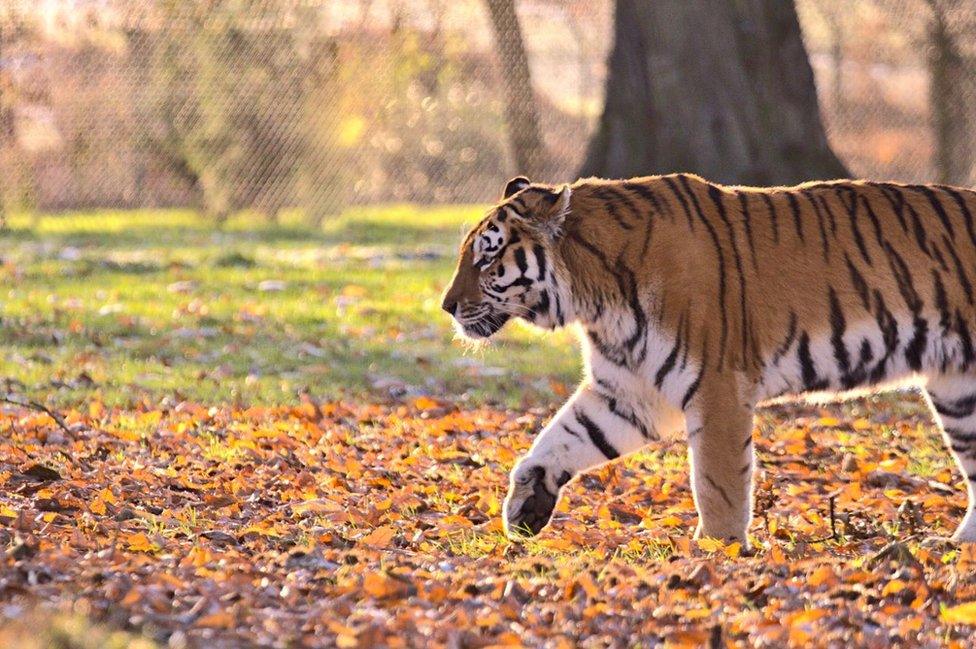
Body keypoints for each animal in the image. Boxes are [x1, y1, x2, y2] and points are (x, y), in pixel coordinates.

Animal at [440, 171, 976, 540]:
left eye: (487, 256)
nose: (446, 306)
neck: (593, 298)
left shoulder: (717, 387)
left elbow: (716, 483)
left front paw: (716, 551)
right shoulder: (629, 393)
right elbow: (560, 438)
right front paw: (525, 506)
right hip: (958, 393)